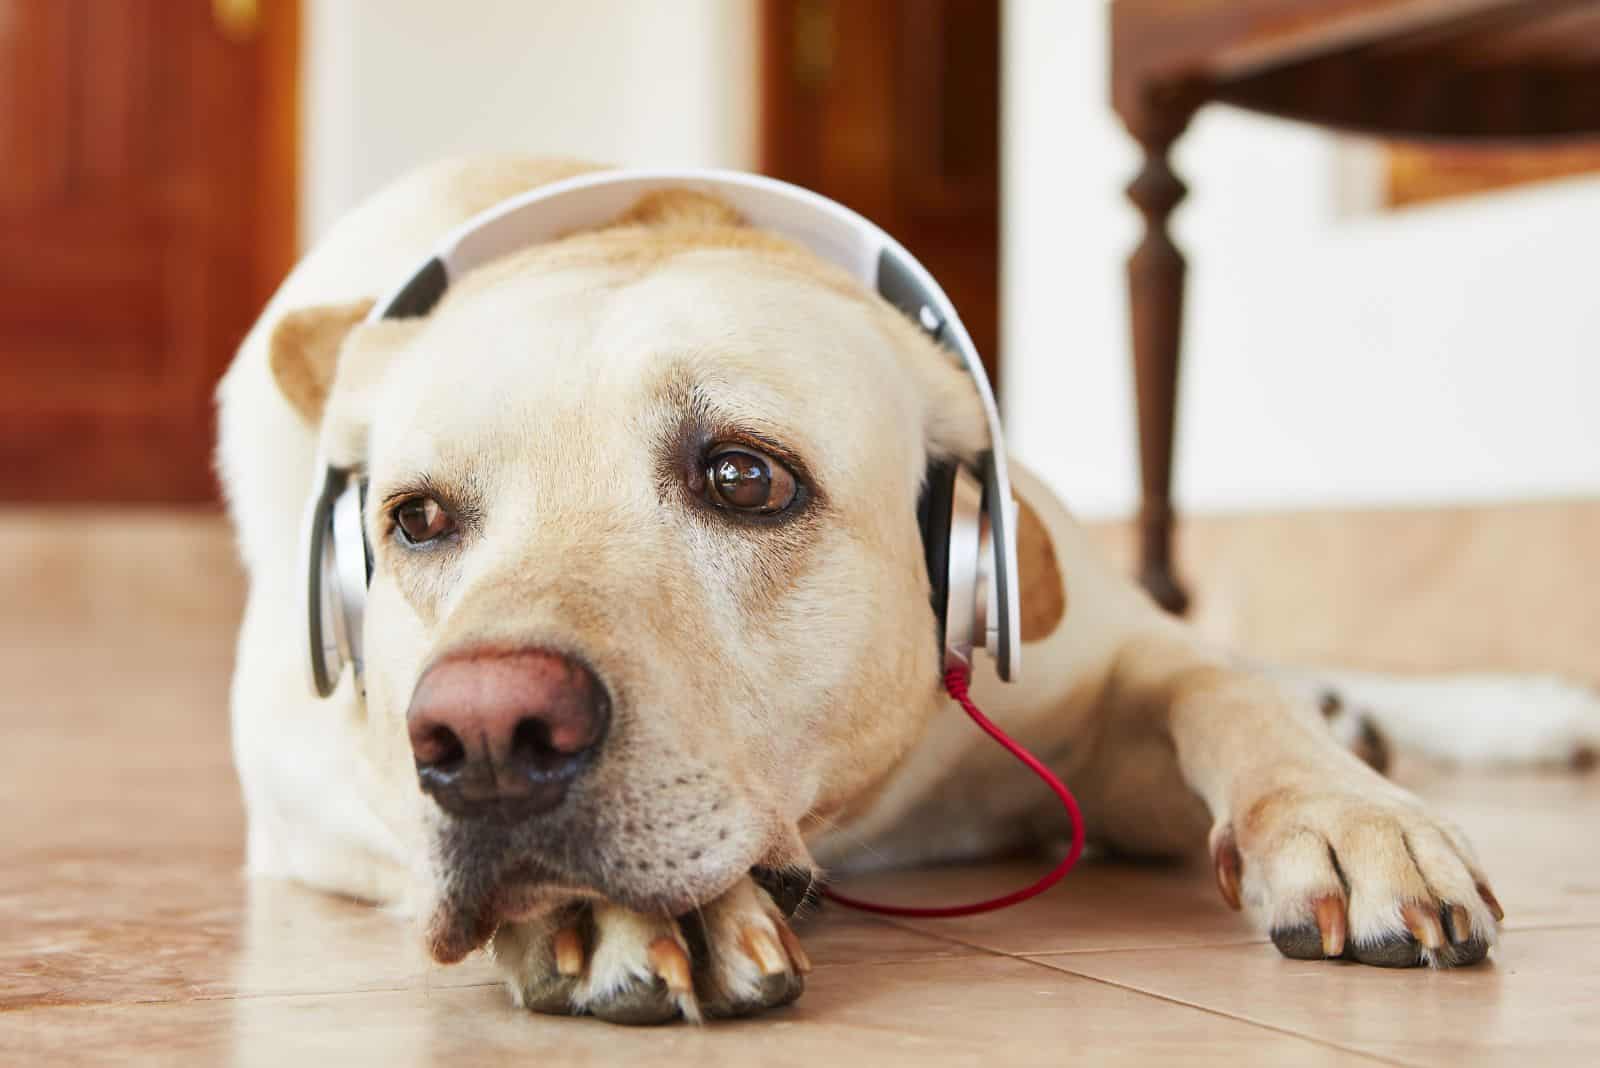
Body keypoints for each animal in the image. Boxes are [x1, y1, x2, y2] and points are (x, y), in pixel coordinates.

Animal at [222, 154, 1600, 1023]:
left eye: (743, 478)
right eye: (416, 520)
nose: (487, 739)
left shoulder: (1109, 661)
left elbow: (1224, 687)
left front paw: (1349, 813)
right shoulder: (302, 775)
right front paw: (612, 914)